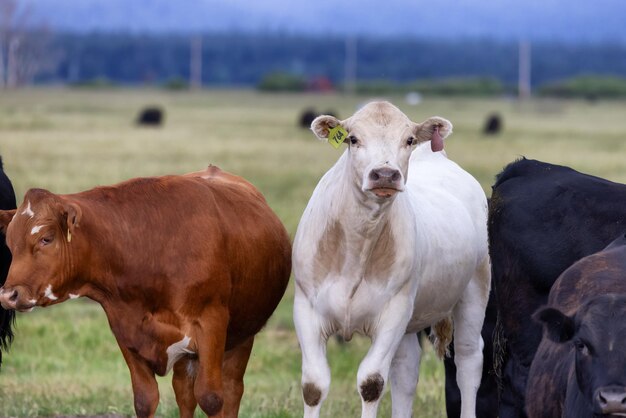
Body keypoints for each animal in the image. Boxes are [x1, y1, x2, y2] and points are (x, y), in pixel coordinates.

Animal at [0, 167, 290, 418]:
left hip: (241, 337)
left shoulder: (211, 325)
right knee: (185, 393)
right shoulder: (127, 331)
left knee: (231, 390)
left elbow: (211, 398)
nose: (8, 295)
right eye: (10, 244)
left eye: (46, 238)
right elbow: (145, 400)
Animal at [292, 101, 488, 418]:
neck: (358, 242)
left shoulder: (393, 312)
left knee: (468, 359)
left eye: (408, 139)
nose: (384, 174)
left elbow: (371, 382)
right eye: (352, 138)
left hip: (475, 288)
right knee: (406, 369)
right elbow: (314, 385)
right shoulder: (307, 309)